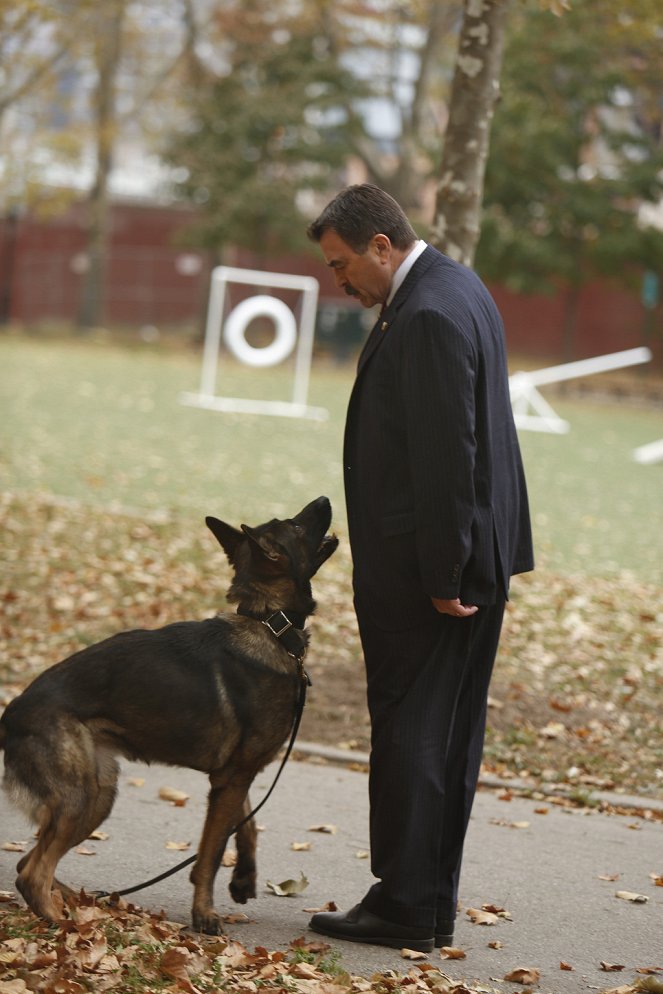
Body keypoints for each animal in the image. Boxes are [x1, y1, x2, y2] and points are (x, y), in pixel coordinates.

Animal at [0, 494, 340, 928]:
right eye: (296, 526)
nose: (325, 499)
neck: (270, 624)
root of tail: (10, 715)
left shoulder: (234, 776)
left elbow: (246, 826)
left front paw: (243, 880)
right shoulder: (232, 778)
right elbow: (212, 851)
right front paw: (204, 913)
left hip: (98, 796)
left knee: (30, 861)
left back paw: (81, 903)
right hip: (80, 798)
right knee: (31, 872)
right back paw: (64, 924)